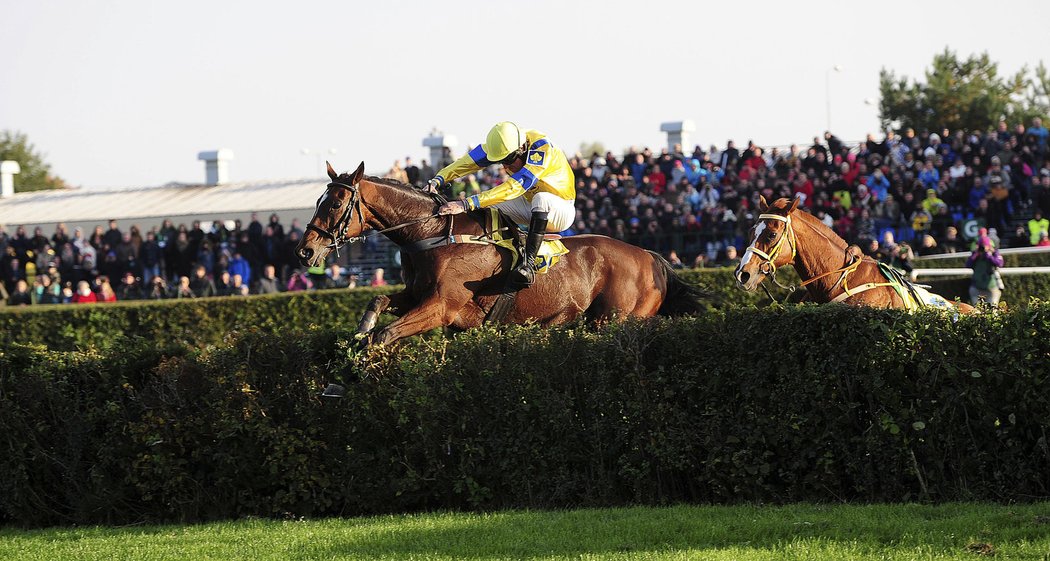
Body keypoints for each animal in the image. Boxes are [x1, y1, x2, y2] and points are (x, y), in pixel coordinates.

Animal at [296, 161, 705, 346]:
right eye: (317, 200)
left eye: (335, 203)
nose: (304, 251)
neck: (432, 236)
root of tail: (649, 256)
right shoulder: (416, 295)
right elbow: (379, 300)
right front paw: (361, 329)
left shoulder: (441, 307)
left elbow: (386, 335)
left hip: (616, 321)